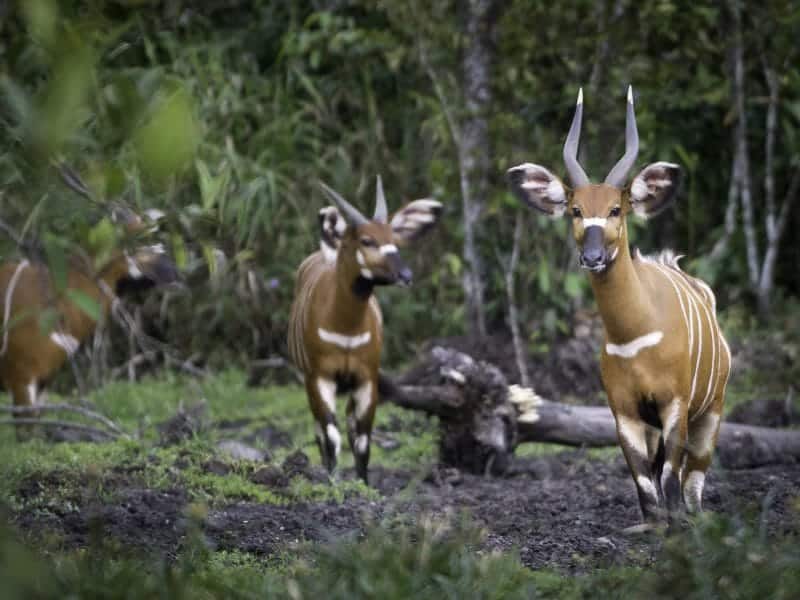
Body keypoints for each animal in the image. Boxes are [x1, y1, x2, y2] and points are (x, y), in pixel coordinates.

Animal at [288, 177, 442, 483]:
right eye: (367, 240)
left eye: (394, 239)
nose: (406, 276)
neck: (345, 328)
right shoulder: (319, 377)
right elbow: (331, 436)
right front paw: (334, 484)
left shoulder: (366, 377)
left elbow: (362, 439)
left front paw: (364, 484)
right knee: (320, 430)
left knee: (349, 423)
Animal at [507, 87, 731, 524]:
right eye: (576, 210)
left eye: (616, 209)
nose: (592, 257)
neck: (635, 335)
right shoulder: (624, 411)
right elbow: (645, 485)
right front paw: (652, 528)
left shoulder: (675, 404)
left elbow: (671, 479)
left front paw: (677, 528)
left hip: (711, 409)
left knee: (693, 479)